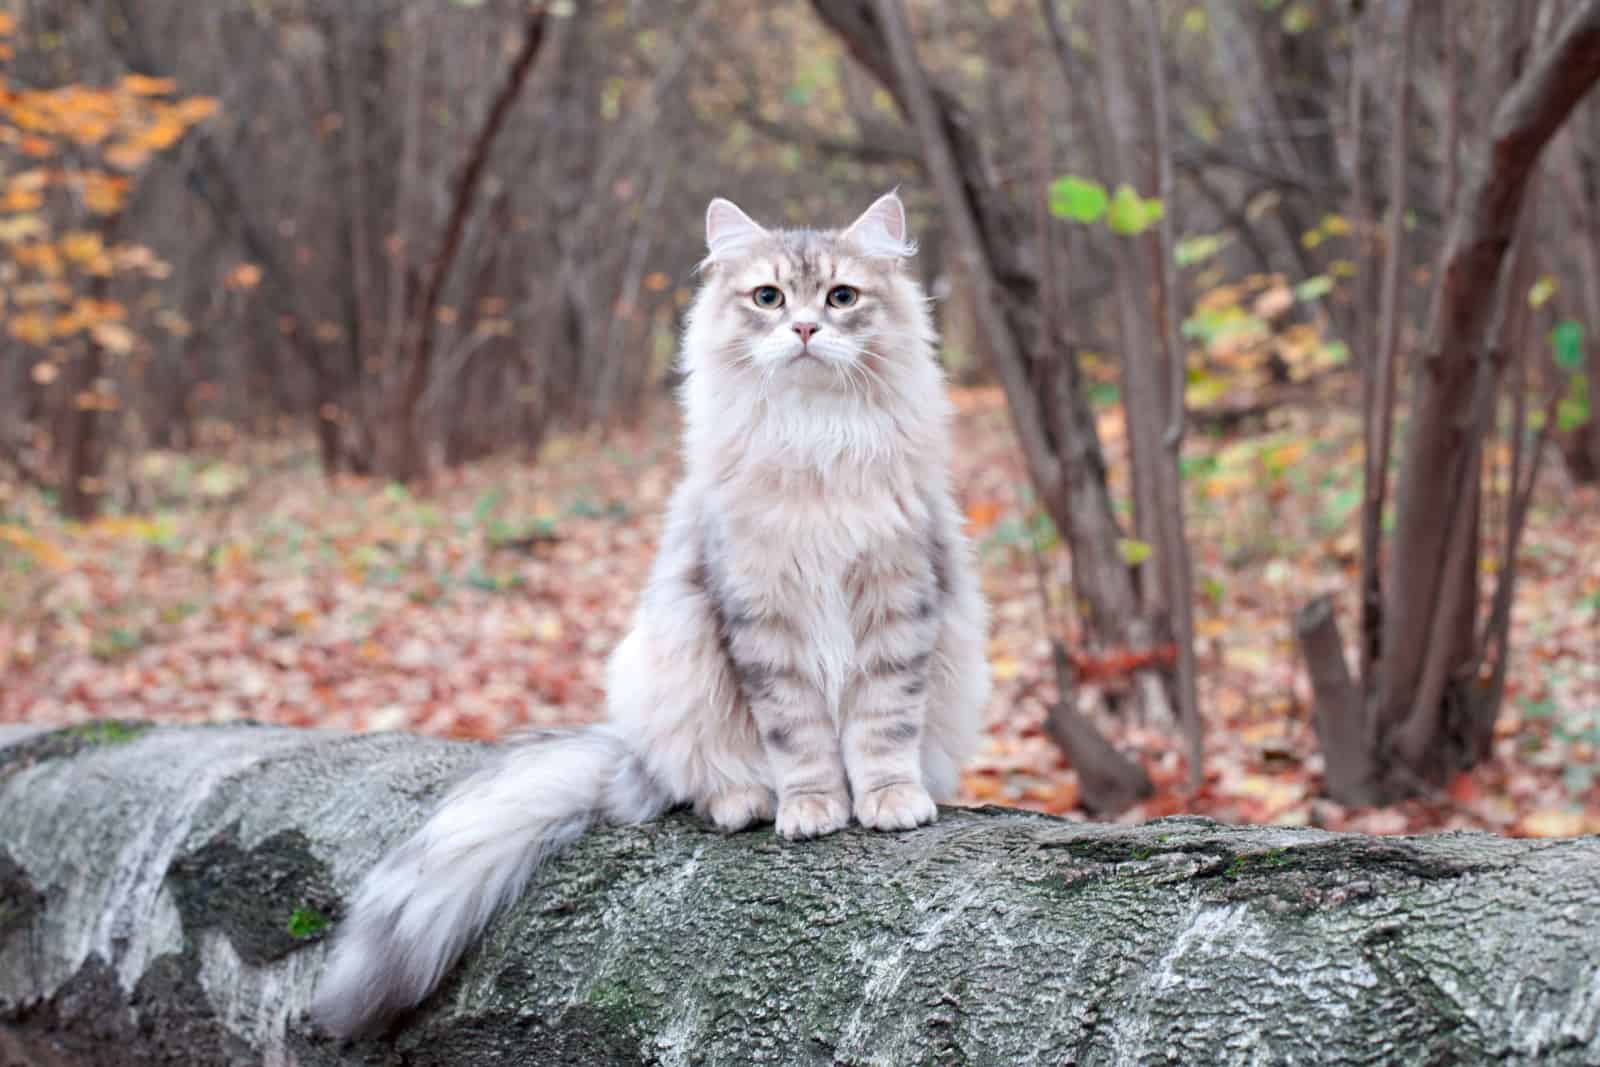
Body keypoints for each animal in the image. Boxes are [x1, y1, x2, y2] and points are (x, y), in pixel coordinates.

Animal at [308, 191, 985, 1036]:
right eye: (769, 298)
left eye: (841, 297)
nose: (803, 329)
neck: (814, 444)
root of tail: (625, 756)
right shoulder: (759, 612)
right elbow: (799, 736)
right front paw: (813, 807)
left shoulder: (899, 596)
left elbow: (883, 724)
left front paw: (889, 799)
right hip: (667, 669)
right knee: (696, 781)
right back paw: (744, 802)